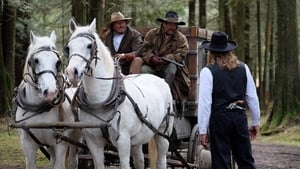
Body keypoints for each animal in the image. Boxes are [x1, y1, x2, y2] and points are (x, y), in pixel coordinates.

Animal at [14, 30, 80, 169]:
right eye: (35, 61)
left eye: (57, 62)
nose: (50, 92)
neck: (39, 109)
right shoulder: (27, 144)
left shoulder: (61, 143)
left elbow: (59, 165)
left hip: (76, 137)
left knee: (73, 160)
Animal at [64, 18, 175, 169]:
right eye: (68, 47)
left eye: (89, 46)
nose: (71, 73)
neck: (100, 100)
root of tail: (161, 80)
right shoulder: (93, 140)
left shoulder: (123, 140)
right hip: (137, 138)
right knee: (140, 160)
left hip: (163, 133)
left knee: (161, 159)